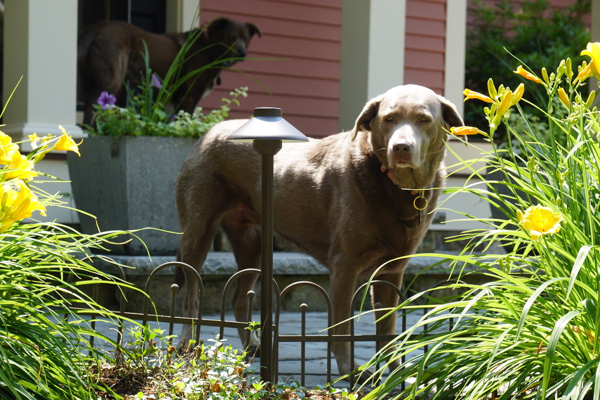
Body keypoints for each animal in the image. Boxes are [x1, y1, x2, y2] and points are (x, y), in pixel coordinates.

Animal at [78, 17, 260, 125]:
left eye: (245, 38)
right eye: (231, 37)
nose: (242, 53)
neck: (209, 47)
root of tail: (97, 28)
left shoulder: (171, 100)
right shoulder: (189, 97)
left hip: (87, 83)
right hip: (111, 81)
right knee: (92, 114)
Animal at [175, 84, 464, 379]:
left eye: (424, 119)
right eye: (389, 118)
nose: (401, 147)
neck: (398, 187)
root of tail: (210, 131)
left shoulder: (392, 271)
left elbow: (387, 329)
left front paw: (395, 372)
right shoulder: (344, 264)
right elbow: (342, 327)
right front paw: (350, 370)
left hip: (252, 244)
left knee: (238, 299)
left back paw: (252, 348)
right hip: (198, 232)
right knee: (191, 295)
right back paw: (187, 344)